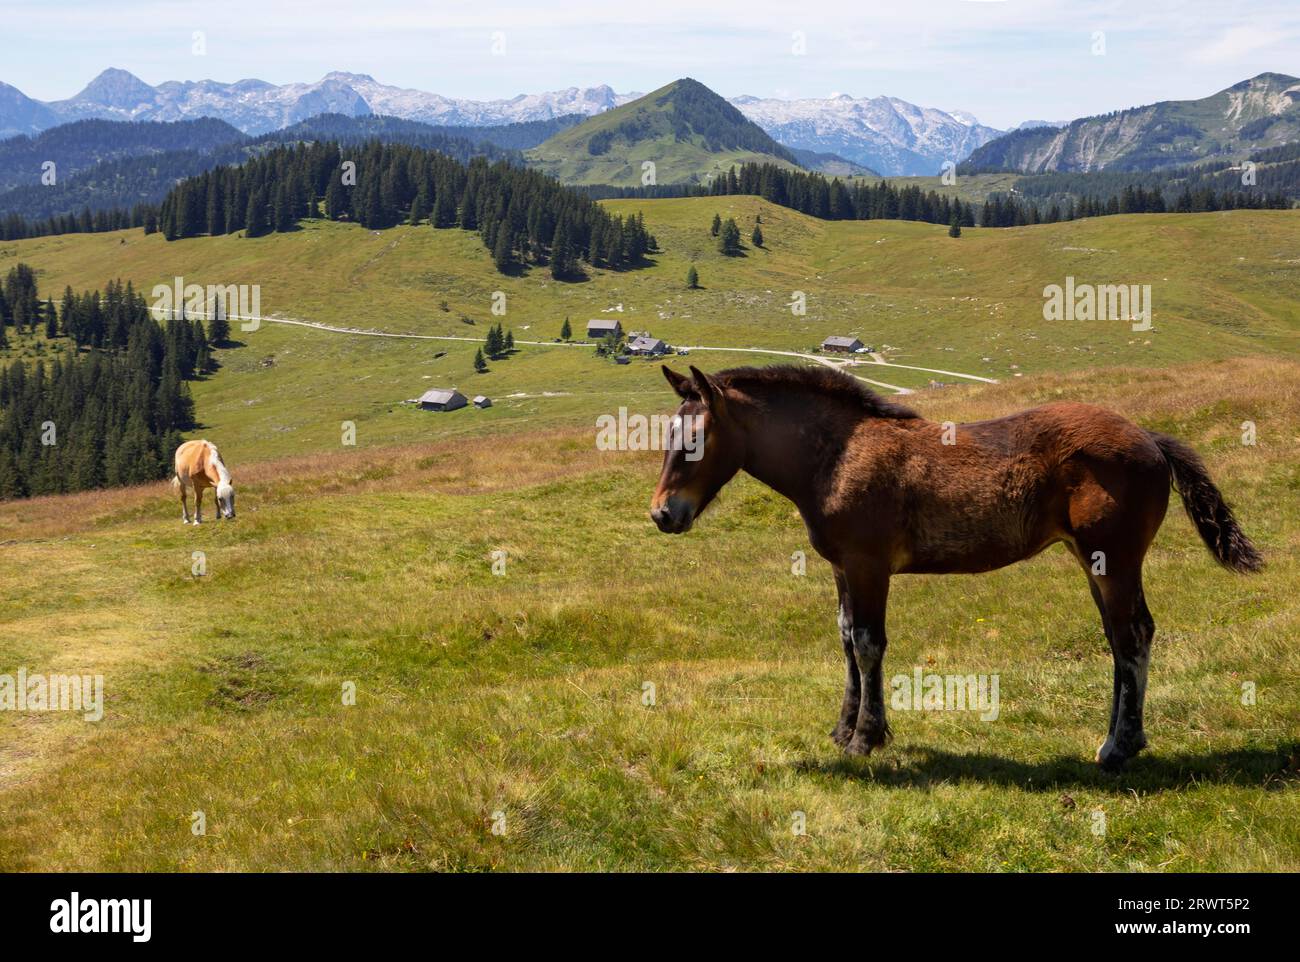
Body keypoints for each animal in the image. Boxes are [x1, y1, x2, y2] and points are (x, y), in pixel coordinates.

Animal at [650, 364, 1258, 769]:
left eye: (696, 440)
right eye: (667, 436)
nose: (662, 514)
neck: (837, 456)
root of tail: (1149, 439)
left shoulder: (868, 566)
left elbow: (868, 644)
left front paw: (866, 738)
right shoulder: (842, 568)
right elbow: (845, 638)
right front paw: (843, 729)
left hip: (1113, 559)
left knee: (1131, 637)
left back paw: (1117, 747)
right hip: (1096, 561)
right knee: (1124, 635)